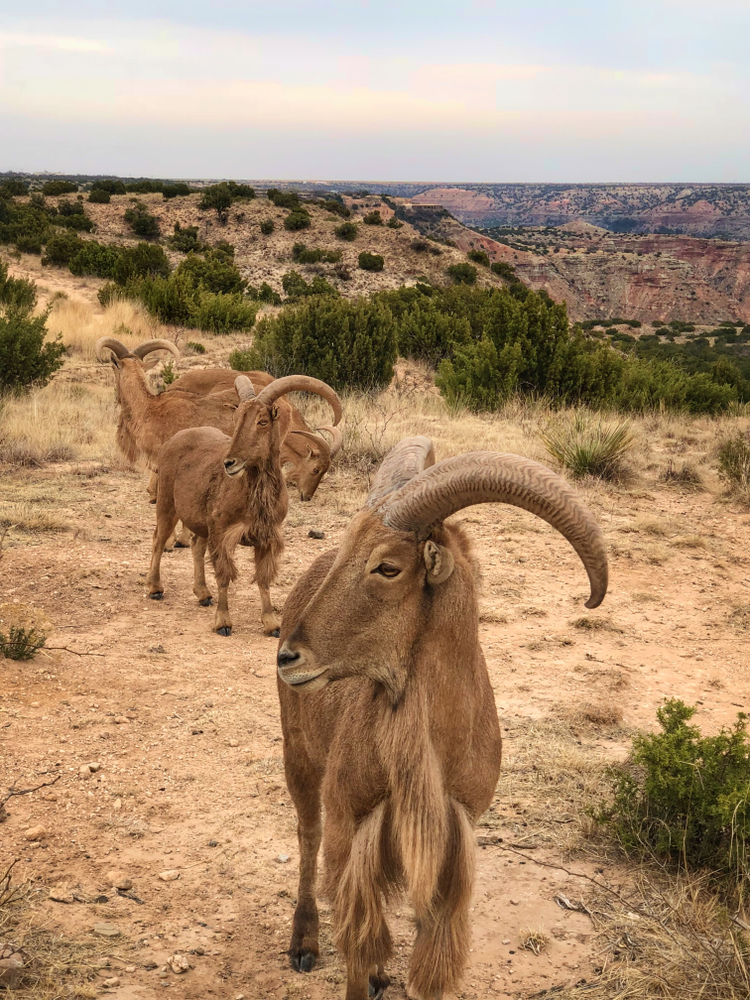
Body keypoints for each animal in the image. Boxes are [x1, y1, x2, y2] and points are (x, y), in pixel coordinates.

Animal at [147, 372, 340, 636]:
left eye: (262, 421)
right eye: (236, 418)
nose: (230, 463)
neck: (254, 497)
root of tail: (173, 440)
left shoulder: (267, 536)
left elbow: (264, 578)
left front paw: (271, 623)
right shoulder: (222, 532)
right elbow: (224, 575)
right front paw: (223, 622)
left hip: (201, 521)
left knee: (196, 546)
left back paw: (203, 594)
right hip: (167, 504)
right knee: (158, 539)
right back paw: (155, 588)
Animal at [276, 438, 612, 1000]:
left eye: (387, 568)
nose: (288, 656)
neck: (431, 749)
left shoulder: (452, 836)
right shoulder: (352, 823)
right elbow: (356, 934)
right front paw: (354, 971)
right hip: (298, 755)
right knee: (307, 837)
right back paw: (303, 943)